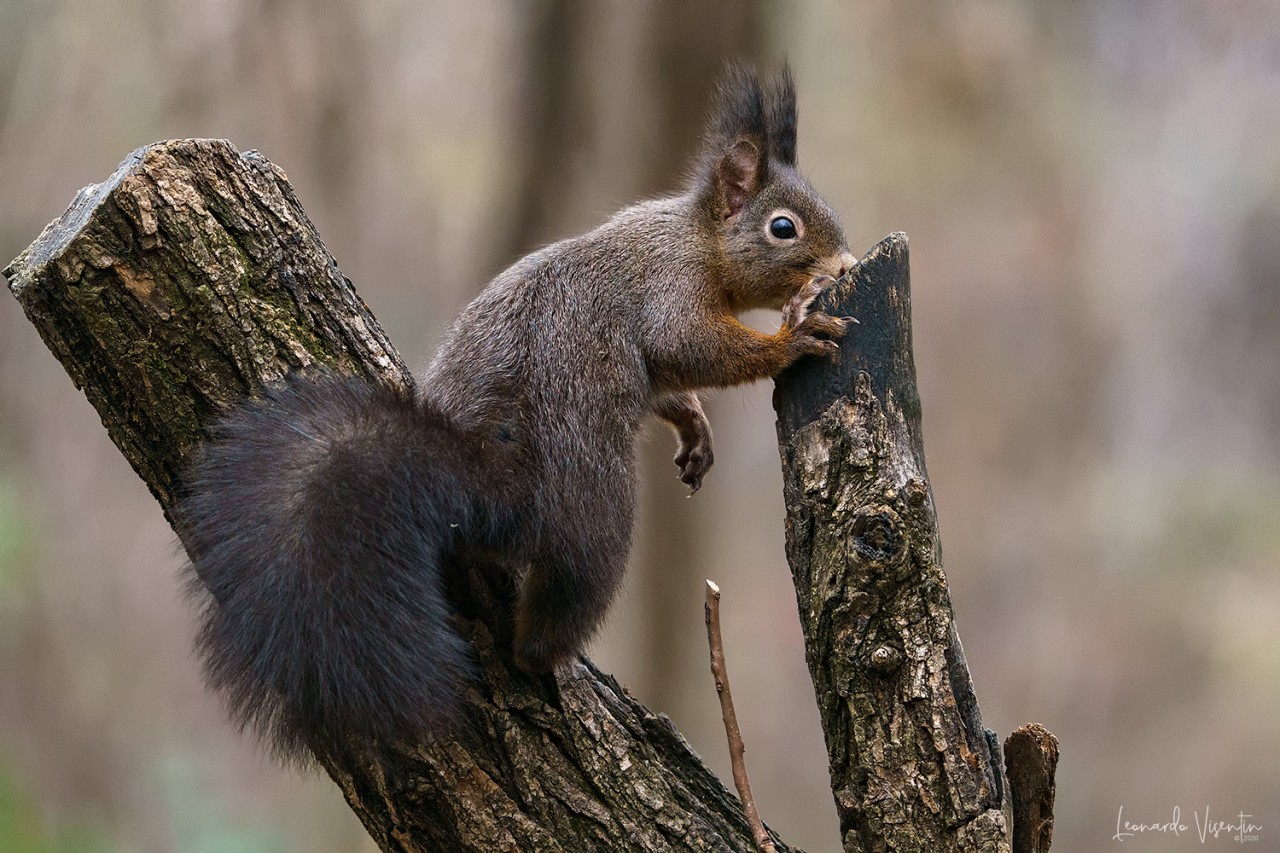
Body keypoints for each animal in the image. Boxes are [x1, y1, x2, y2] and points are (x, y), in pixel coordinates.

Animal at [180, 63, 856, 764]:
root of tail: (499, 487)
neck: (697, 237)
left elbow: (672, 387)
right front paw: (792, 338)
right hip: (597, 513)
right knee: (562, 598)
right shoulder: (669, 291)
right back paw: (548, 658)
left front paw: (695, 428)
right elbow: (694, 348)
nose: (847, 266)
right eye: (784, 228)